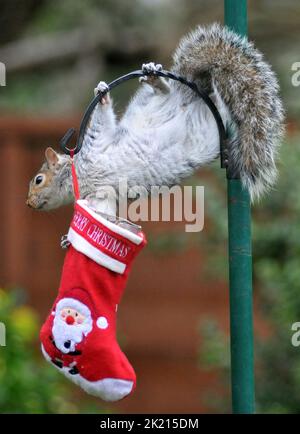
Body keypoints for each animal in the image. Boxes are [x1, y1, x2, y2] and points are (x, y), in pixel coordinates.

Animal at [26, 23, 284, 214]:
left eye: (38, 179)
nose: (29, 203)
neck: (79, 175)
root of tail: (193, 95)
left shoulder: (96, 144)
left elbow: (101, 123)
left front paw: (102, 96)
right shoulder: (103, 192)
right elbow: (103, 210)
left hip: (153, 106)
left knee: (171, 93)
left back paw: (155, 78)